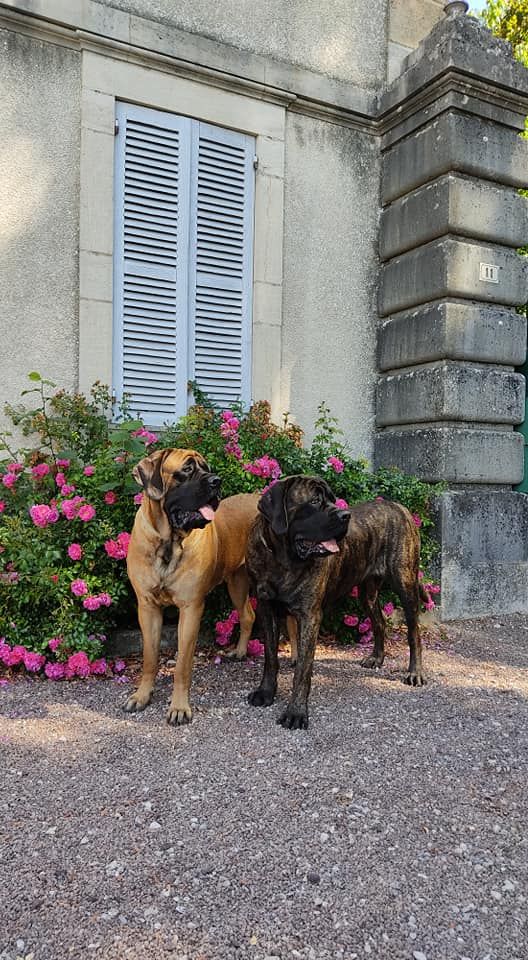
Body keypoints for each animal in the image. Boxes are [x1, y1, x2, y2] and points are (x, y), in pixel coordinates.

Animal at [126, 450, 258, 728]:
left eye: (207, 468)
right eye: (187, 469)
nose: (217, 481)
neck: (168, 542)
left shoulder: (191, 608)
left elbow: (182, 665)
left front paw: (179, 707)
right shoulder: (147, 607)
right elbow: (149, 657)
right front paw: (142, 695)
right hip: (236, 582)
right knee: (247, 615)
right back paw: (240, 651)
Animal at [246, 476, 424, 732]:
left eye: (332, 498)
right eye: (315, 501)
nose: (345, 515)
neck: (282, 559)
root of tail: (399, 507)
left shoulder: (309, 616)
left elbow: (302, 670)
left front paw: (296, 712)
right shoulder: (266, 609)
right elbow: (270, 658)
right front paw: (266, 692)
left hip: (406, 582)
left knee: (414, 632)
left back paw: (415, 672)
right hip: (367, 594)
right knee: (379, 623)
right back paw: (376, 658)